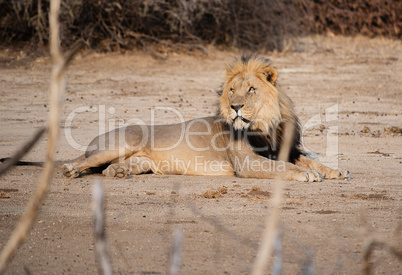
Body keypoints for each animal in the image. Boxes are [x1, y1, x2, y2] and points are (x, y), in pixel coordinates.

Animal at [61, 54, 350, 182]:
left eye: (251, 89)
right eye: (232, 90)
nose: (235, 106)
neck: (264, 124)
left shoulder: (284, 150)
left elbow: (311, 161)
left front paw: (335, 170)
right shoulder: (245, 162)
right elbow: (284, 168)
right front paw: (309, 174)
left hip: (140, 161)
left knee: (108, 169)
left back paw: (119, 172)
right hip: (119, 144)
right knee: (82, 162)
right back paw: (71, 170)